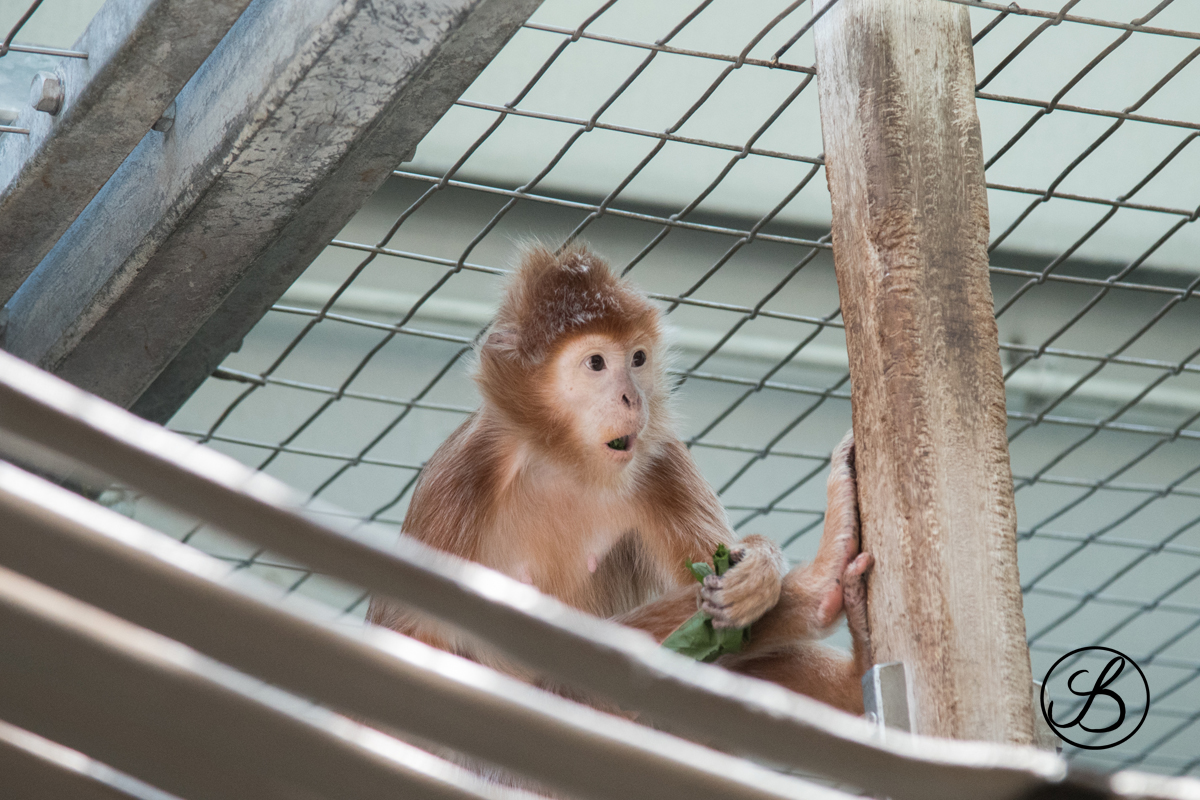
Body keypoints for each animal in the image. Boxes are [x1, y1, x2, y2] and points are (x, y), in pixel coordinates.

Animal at [364, 242, 873, 714]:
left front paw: (757, 570)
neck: (563, 463)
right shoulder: (461, 475)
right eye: (596, 363)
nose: (633, 398)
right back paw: (816, 586)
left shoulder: (662, 464)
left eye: (639, 358)